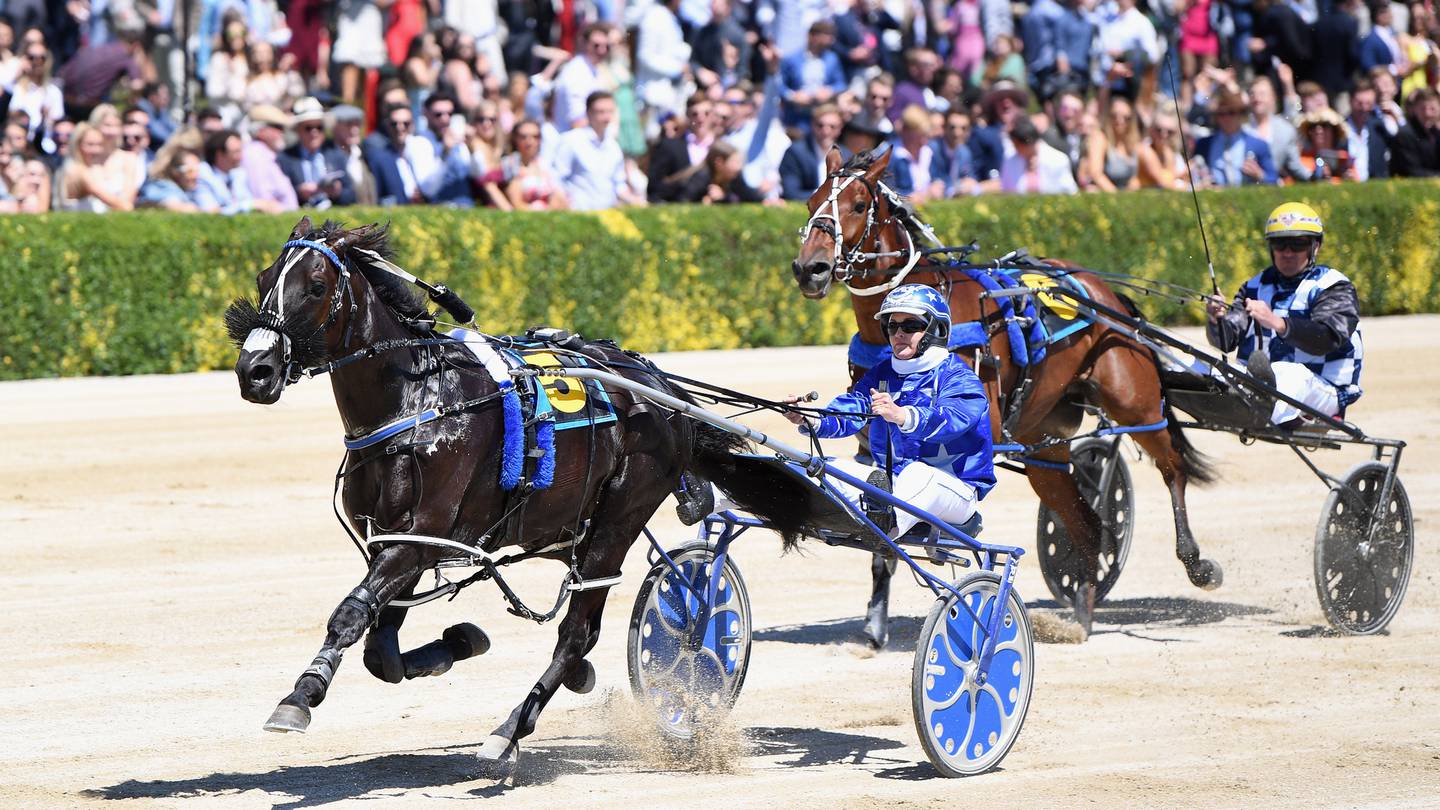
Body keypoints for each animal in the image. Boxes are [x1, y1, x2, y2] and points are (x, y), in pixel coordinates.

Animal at [230, 217, 806, 772]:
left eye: (316, 286)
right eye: (263, 279)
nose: (254, 370)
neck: (419, 401)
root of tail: (663, 390)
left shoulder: (420, 538)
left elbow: (351, 614)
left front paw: (300, 696)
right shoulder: (399, 542)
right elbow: (382, 650)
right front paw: (459, 640)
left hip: (618, 518)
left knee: (578, 633)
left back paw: (510, 730)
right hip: (569, 527)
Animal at [794, 151, 1221, 639]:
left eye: (860, 204)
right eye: (810, 202)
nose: (810, 269)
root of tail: (1104, 295)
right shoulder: (874, 448)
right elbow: (879, 517)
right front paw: (874, 625)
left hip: (1136, 402)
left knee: (1172, 466)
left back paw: (1195, 563)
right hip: (1045, 446)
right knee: (1086, 522)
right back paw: (1081, 614)